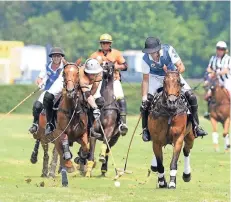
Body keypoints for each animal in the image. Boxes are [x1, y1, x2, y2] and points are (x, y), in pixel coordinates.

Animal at [52, 58, 92, 186]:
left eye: (77, 73)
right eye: (64, 73)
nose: (70, 90)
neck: (71, 111)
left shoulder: (82, 134)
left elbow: (86, 148)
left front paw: (81, 160)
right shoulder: (61, 132)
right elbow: (65, 149)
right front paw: (70, 166)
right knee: (61, 153)